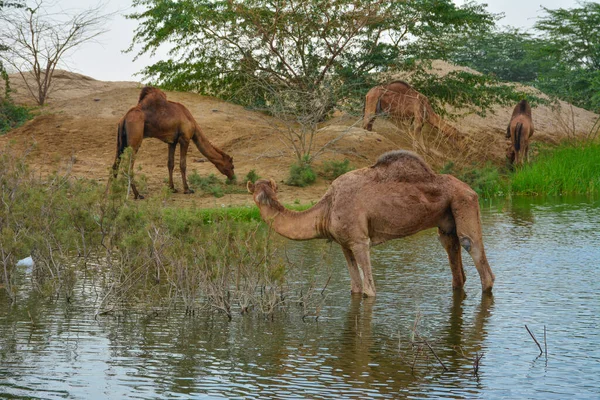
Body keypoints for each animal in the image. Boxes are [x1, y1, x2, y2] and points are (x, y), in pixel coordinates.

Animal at [246, 150, 494, 296]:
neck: (327, 208)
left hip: (464, 202)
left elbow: (369, 290)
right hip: (446, 222)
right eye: (257, 195)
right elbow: (355, 287)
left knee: (474, 250)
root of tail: (471, 189)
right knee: (454, 257)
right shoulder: (344, 244)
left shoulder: (359, 241)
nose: (263, 199)